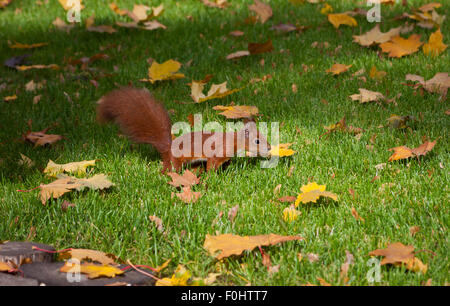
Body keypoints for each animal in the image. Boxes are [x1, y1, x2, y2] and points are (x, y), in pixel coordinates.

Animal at [96, 87, 270, 172]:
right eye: (257, 141)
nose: (269, 148)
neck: (233, 141)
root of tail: (168, 147)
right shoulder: (217, 152)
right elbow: (212, 165)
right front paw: (212, 177)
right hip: (175, 160)